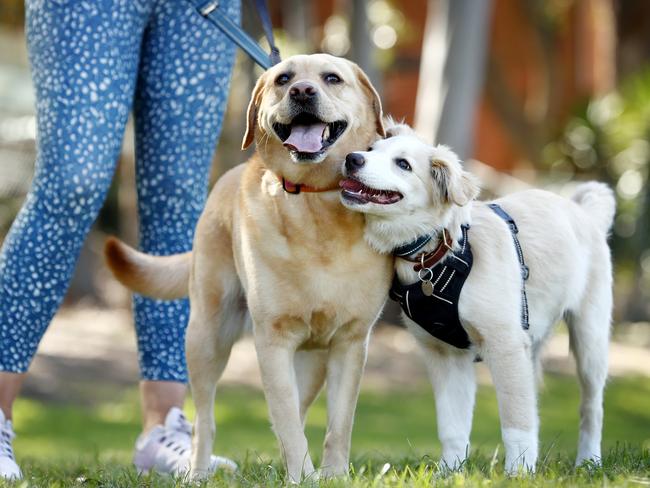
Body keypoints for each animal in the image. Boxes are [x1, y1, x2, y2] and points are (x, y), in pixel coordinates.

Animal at [340, 122, 612, 472]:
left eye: (403, 164)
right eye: (371, 150)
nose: (352, 159)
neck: (438, 251)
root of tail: (584, 212)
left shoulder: (505, 345)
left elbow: (515, 421)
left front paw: (518, 472)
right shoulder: (445, 355)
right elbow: (452, 426)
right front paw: (449, 472)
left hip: (590, 341)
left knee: (591, 408)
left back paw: (588, 461)